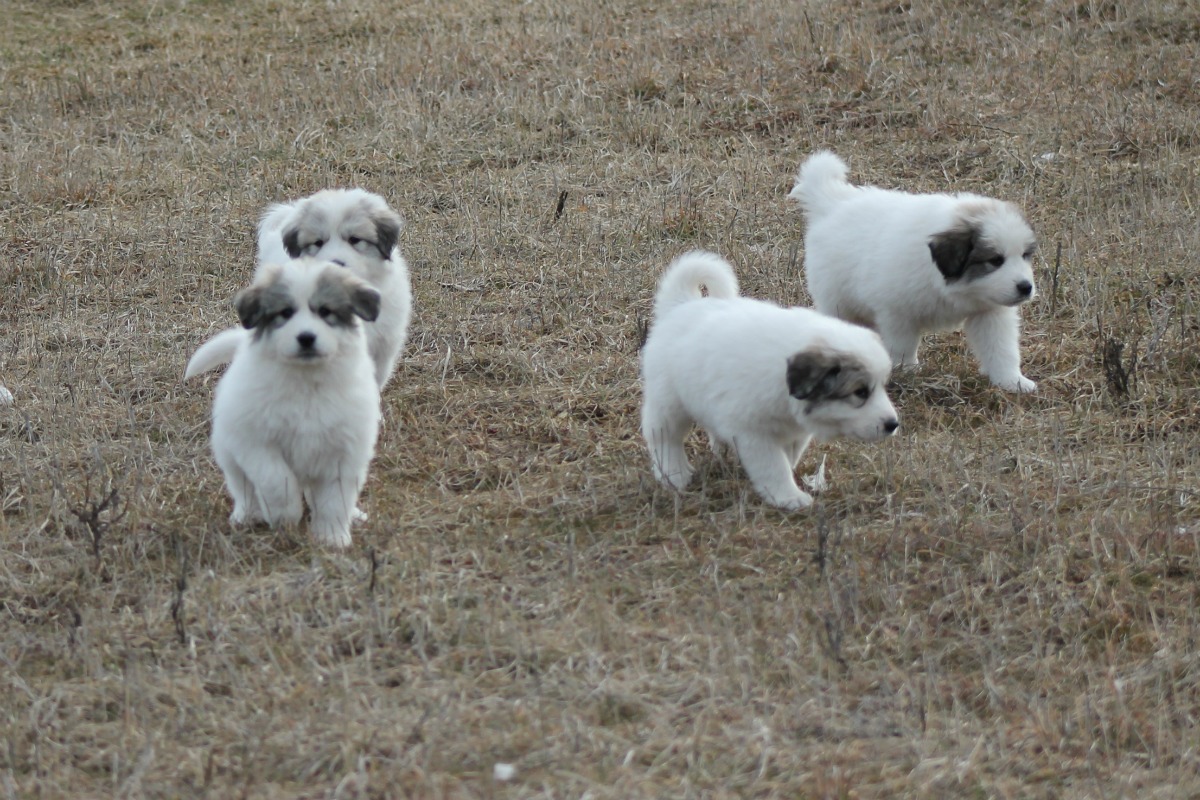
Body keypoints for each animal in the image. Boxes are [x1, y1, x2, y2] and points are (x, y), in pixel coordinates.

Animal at [210, 260, 379, 546]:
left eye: (325, 311)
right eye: (286, 313)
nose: (306, 338)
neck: (307, 384)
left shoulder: (344, 452)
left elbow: (335, 500)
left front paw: (332, 537)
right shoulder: (256, 443)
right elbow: (277, 481)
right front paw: (285, 517)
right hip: (229, 454)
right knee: (244, 489)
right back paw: (248, 516)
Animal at [643, 251, 897, 513]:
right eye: (860, 392)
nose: (893, 424)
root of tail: (681, 304)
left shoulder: (795, 433)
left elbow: (788, 458)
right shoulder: (755, 434)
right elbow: (774, 467)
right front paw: (789, 497)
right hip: (668, 402)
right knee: (664, 437)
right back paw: (674, 475)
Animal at [787, 151, 1041, 393]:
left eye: (1025, 255)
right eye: (995, 260)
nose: (1026, 287)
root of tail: (834, 201)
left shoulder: (991, 312)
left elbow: (1001, 348)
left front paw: (1012, 382)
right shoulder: (897, 312)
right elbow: (903, 345)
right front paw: (906, 371)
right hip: (837, 300)